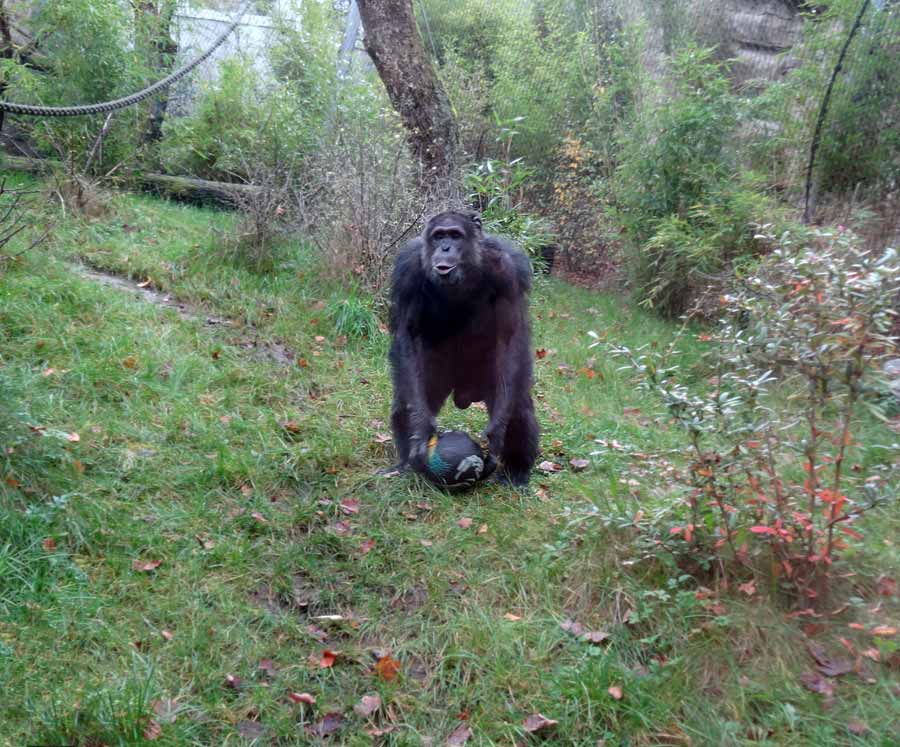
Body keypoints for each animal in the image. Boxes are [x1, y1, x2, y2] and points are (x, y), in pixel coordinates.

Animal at [388, 209, 540, 486]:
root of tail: (464, 393)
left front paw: (495, 436)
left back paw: (517, 473)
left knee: (519, 411)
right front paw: (422, 429)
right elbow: (409, 332)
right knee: (405, 404)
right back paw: (405, 464)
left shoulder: (509, 272)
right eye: (439, 236)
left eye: (455, 235)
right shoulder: (408, 271)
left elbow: (509, 335)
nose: (445, 248)